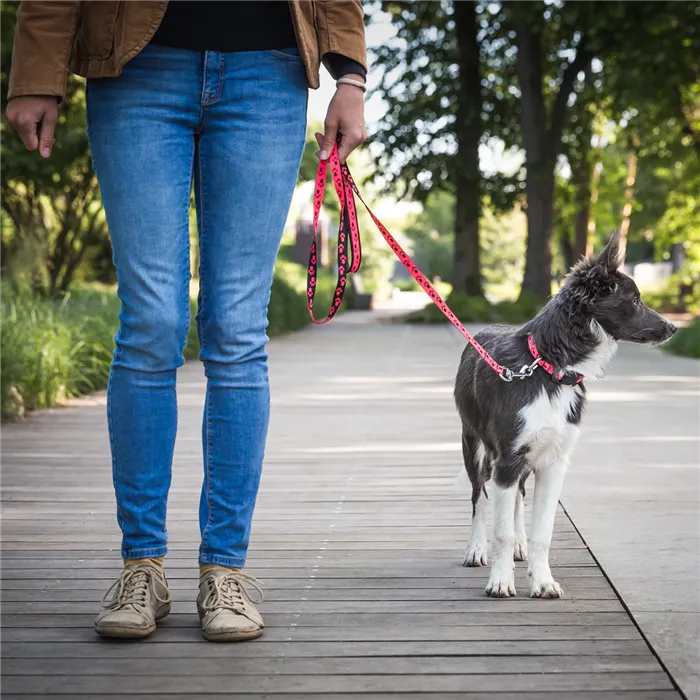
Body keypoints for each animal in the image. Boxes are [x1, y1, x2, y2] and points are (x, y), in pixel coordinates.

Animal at [454, 234, 680, 596]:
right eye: (634, 300)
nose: (673, 328)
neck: (550, 367)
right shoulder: (508, 457)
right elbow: (500, 530)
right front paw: (500, 582)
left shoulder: (553, 462)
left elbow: (542, 532)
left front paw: (543, 580)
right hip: (473, 444)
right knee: (480, 495)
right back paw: (476, 548)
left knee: (516, 498)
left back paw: (519, 545)